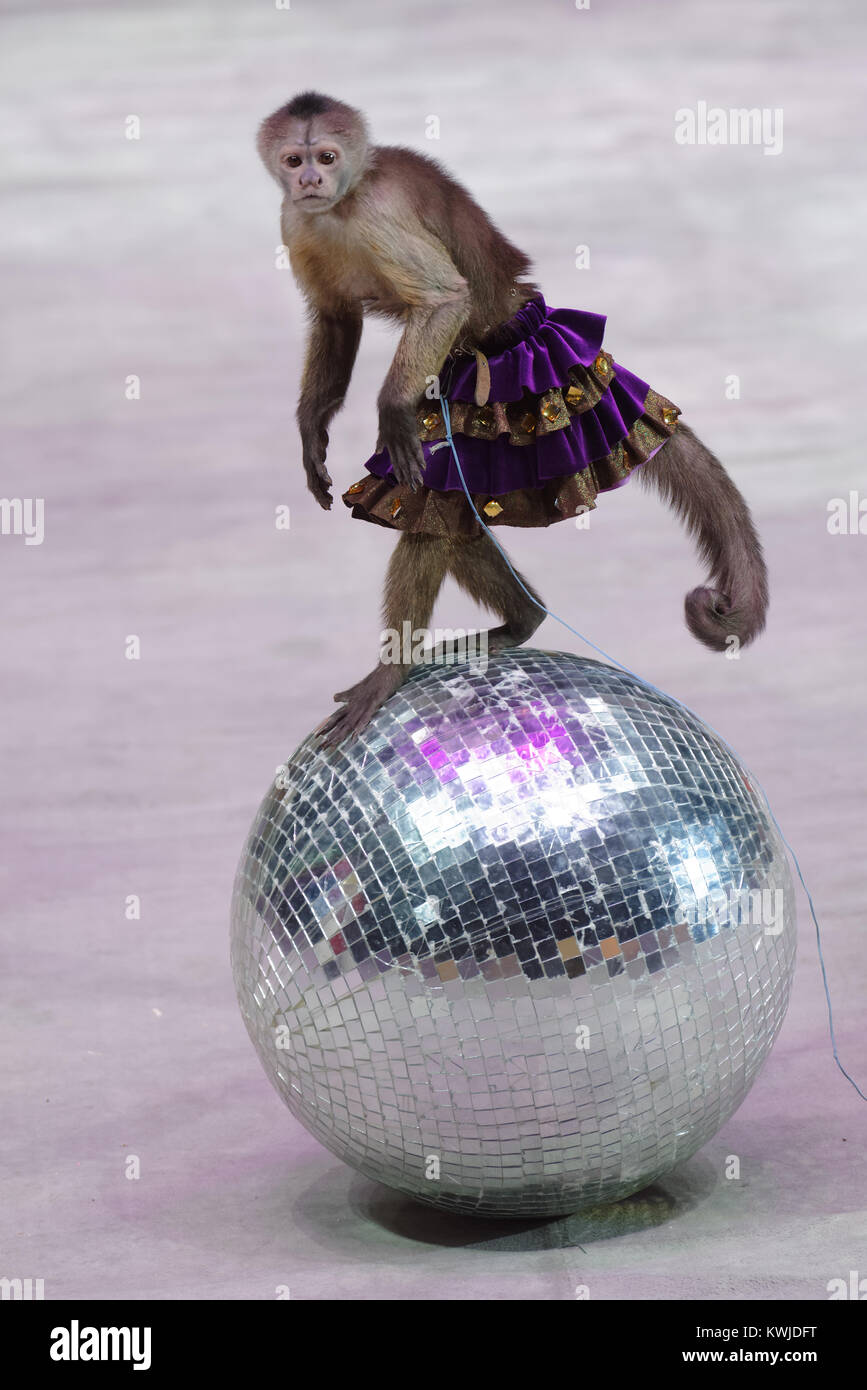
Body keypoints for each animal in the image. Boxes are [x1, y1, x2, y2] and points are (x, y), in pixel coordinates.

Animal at [255, 95, 766, 750]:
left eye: (326, 157)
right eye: (294, 161)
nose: (310, 181)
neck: (342, 204)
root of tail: (538, 323)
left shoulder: (377, 212)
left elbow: (445, 300)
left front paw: (390, 408)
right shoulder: (295, 221)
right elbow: (337, 319)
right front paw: (311, 431)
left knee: (431, 493)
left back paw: (396, 666)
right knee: (449, 510)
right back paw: (523, 620)